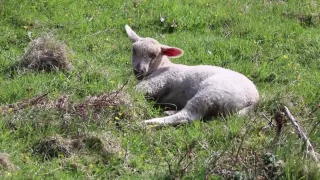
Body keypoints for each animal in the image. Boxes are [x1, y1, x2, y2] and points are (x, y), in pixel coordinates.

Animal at [125, 24, 260, 126]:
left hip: (211, 94)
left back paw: (148, 123)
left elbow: (133, 91)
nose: (138, 70)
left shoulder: (157, 82)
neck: (160, 67)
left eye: (154, 55)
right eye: (133, 50)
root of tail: (253, 100)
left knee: (189, 115)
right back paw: (169, 112)